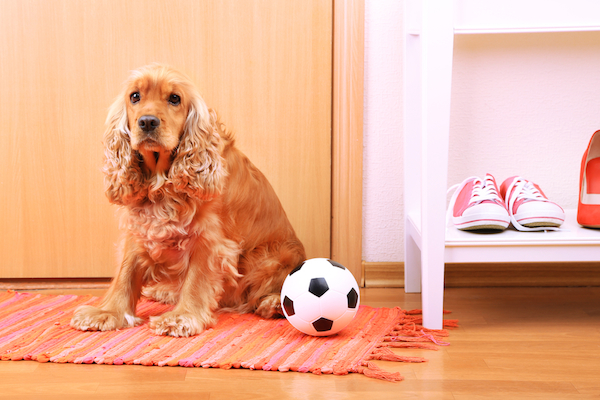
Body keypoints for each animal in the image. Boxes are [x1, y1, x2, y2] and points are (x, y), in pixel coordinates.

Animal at [69, 65, 304, 338]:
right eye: (135, 96)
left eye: (175, 99)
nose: (147, 121)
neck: (162, 179)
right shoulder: (140, 228)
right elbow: (125, 273)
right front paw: (108, 312)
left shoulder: (209, 239)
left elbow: (196, 280)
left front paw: (182, 317)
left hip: (273, 256)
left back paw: (273, 303)